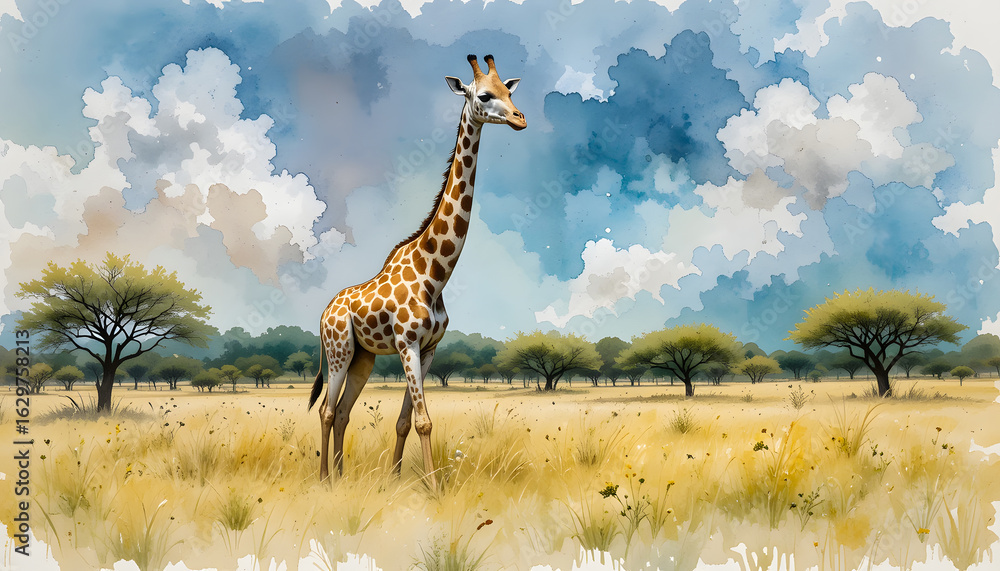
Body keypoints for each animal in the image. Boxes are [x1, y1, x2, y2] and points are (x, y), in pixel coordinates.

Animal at [308, 54, 525, 487]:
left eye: (510, 92)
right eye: (484, 95)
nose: (520, 118)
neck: (434, 273)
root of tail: (324, 312)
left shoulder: (428, 349)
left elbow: (406, 422)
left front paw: (399, 480)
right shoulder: (407, 344)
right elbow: (423, 421)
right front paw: (435, 487)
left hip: (362, 358)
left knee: (342, 412)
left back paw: (341, 476)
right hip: (339, 350)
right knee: (326, 409)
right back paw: (325, 479)